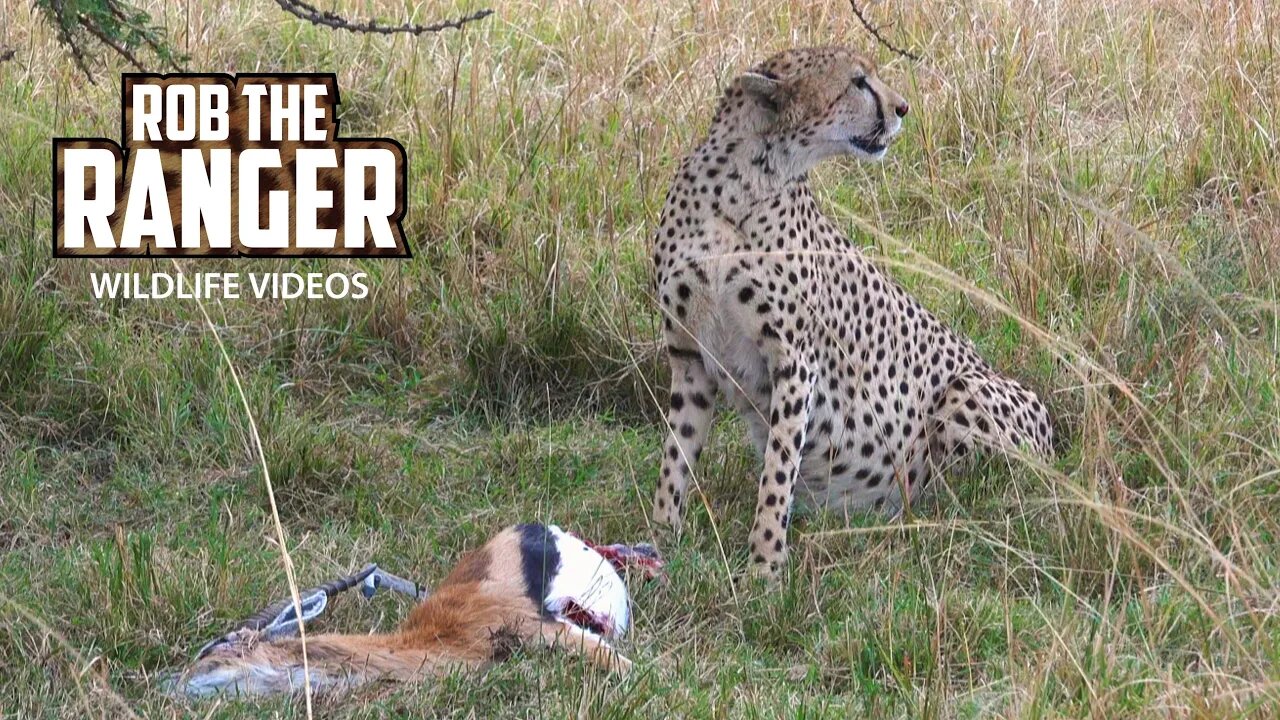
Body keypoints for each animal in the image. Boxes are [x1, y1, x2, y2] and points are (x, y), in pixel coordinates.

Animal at [655, 44, 1054, 573]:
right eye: (857, 82)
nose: (903, 108)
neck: (742, 183)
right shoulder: (689, 355)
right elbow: (676, 453)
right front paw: (660, 537)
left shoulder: (794, 360)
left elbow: (778, 470)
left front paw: (765, 564)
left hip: (966, 390)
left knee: (978, 498)